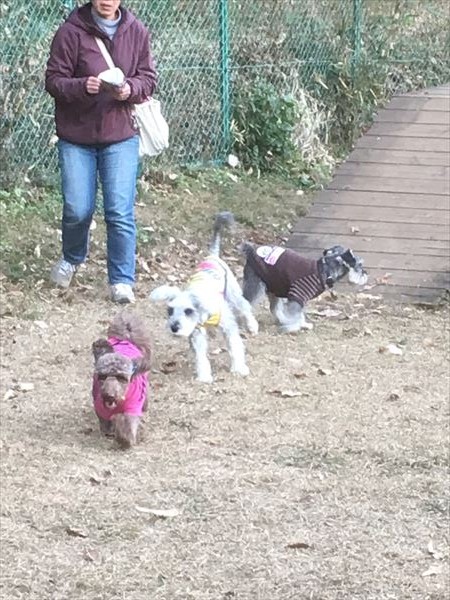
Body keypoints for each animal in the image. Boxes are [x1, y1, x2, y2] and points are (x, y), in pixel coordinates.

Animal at [92, 312, 151, 448]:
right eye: (102, 376)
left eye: (122, 378)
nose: (109, 395)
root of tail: (125, 337)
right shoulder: (100, 406)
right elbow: (104, 421)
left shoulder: (132, 408)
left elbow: (127, 423)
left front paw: (124, 439)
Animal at [149, 212, 258, 383]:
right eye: (170, 311)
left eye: (188, 311)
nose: (174, 327)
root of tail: (212, 256)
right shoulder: (197, 333)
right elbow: (201, 356)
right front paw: (204, 376)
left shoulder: (228, 326)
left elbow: (235, 346)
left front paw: (239, 368)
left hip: (234, 294)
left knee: (245, 308)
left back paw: (252, 326)